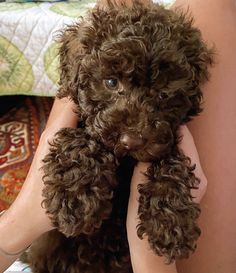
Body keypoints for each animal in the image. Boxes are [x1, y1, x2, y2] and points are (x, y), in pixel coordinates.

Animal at [25, 2, 214, 272]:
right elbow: (77, 140)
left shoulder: (165, 138)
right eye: (111, 82)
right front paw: (75, 198)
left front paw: (169, 221)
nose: (131, 141)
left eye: (163, 94)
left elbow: (171, 161)